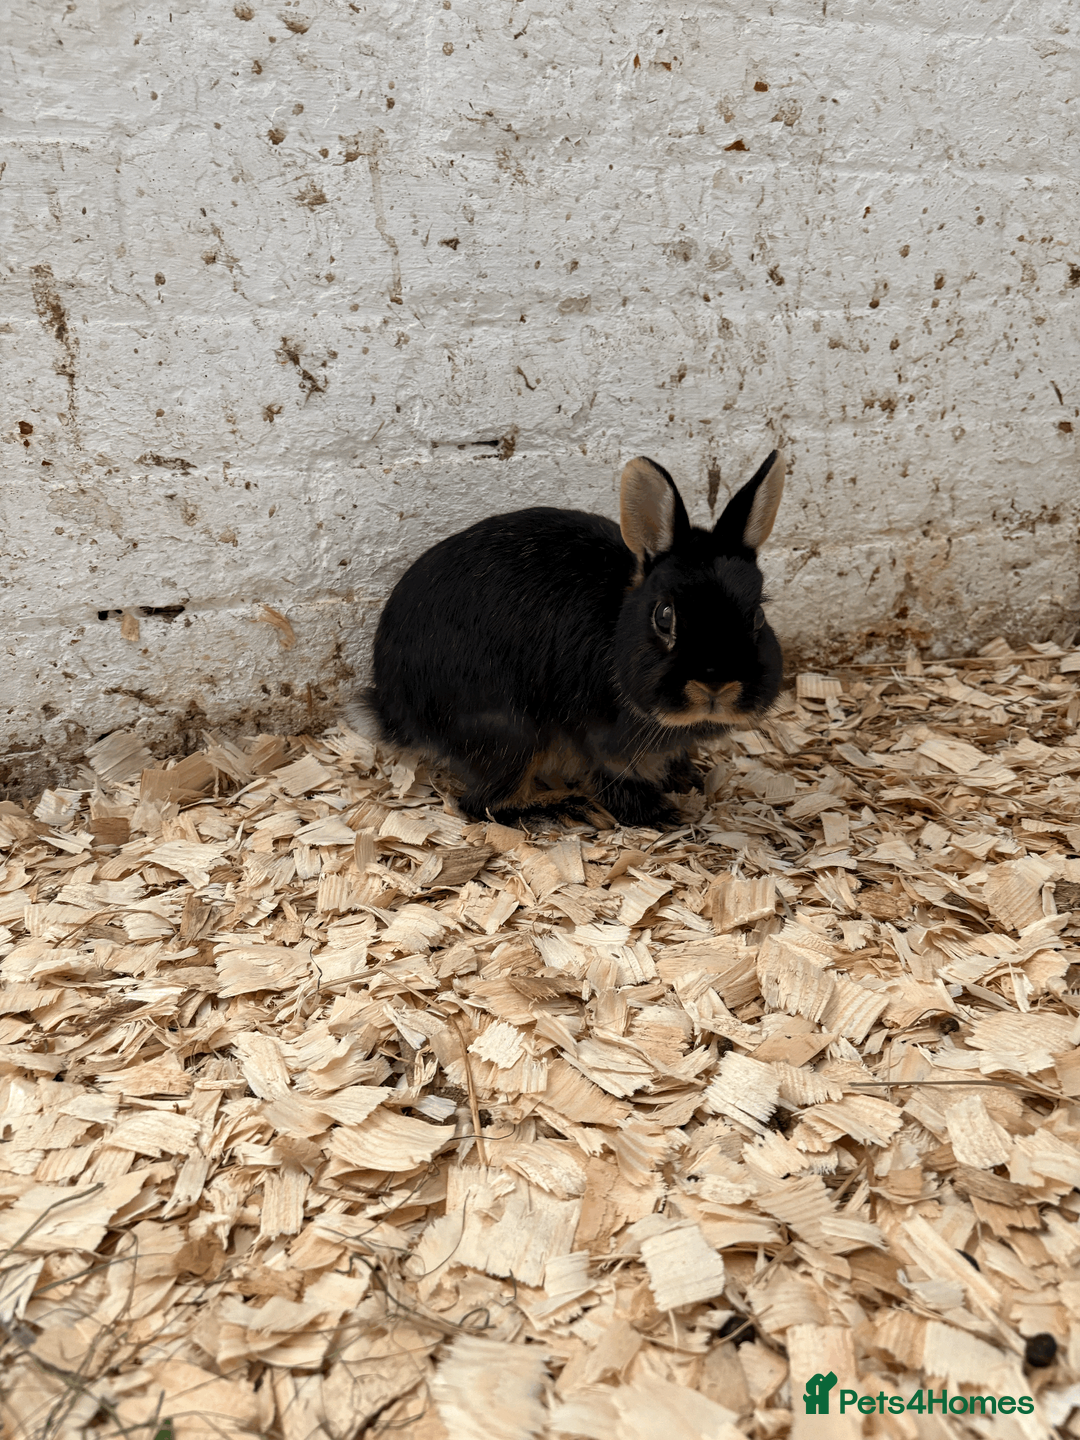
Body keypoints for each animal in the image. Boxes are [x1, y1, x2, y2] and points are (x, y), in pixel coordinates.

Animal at [365, 447, 785, 828]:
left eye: (758, 616)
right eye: (664, 617)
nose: (716, 685)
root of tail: (393, 709)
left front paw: (687, 778)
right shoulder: (603, 743)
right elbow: (616, 781)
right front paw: (661, 815)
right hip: (511, 736)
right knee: (482, 804)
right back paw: (564, 809)